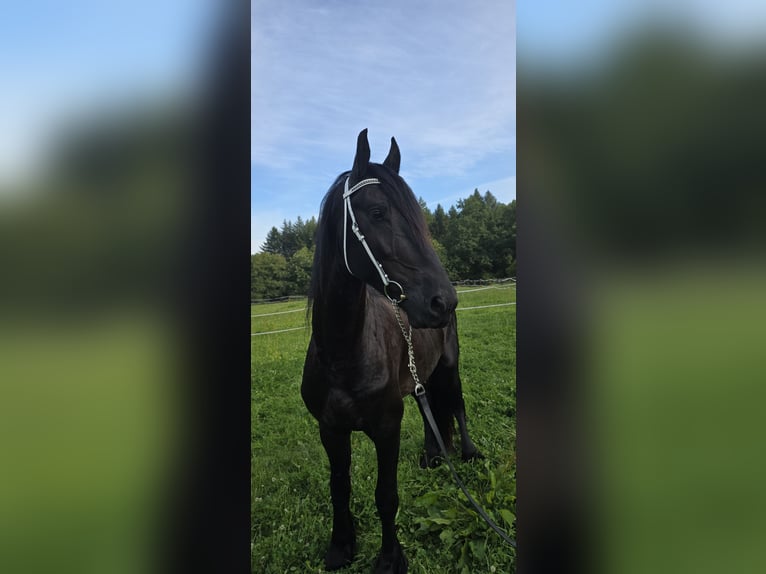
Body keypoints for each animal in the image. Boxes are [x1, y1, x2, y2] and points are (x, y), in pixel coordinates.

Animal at [301, 129, 482, 573]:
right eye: (378, 211)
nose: (443, 302)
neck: (343, 353)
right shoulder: (330, 430)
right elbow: (339, 488)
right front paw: (341, 546)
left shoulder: (387, 428)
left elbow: (386, 495)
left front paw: (389, 557)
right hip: (421, 378)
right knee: (431, 408)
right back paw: (434, 456)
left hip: (448, 368)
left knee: (457, 406)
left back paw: (468, 453)